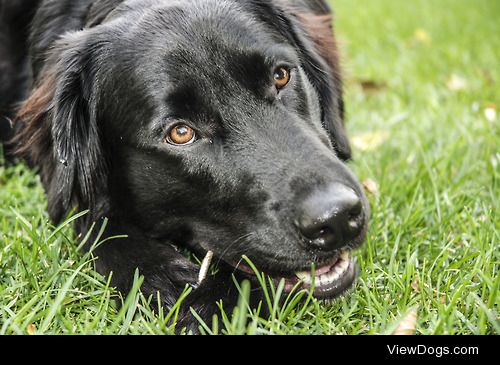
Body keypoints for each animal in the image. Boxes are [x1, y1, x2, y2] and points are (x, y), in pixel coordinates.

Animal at [1, 0, 370, 328]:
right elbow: (95, 222)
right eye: (181, 133)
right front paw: (162, 279)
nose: (337, 219)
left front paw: (217, 300)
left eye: (280, 76)